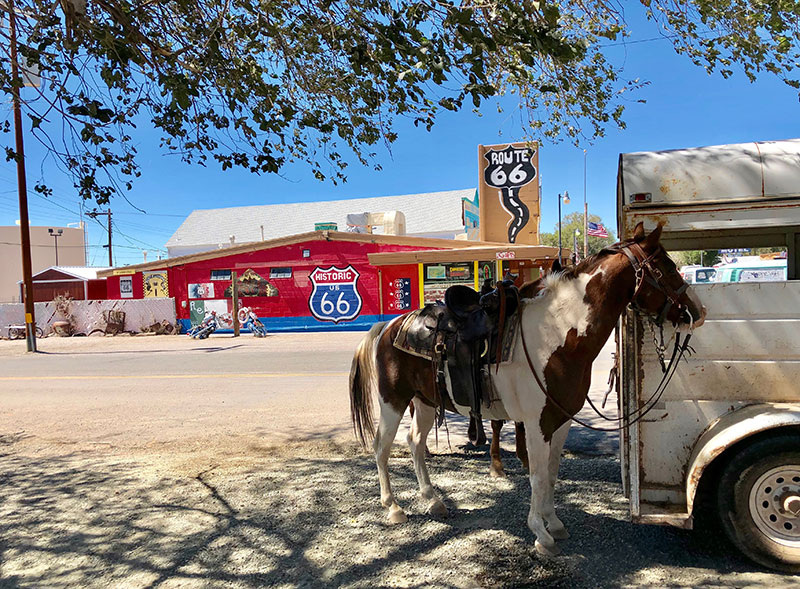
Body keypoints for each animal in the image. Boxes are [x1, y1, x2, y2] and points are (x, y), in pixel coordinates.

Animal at [350, 223, 708, 552]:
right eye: (666, 267)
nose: (700, 311)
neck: (559, 334)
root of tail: (387, 326)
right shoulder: (538, 423)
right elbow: (536, 474)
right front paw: (540, 533)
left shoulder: (561, 420)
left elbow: (551, 472)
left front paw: (554, 522)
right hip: (393, 401)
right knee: (382, 447)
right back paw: (393, 507)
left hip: (424, 401)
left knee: (414, 442)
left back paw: (433, 499)